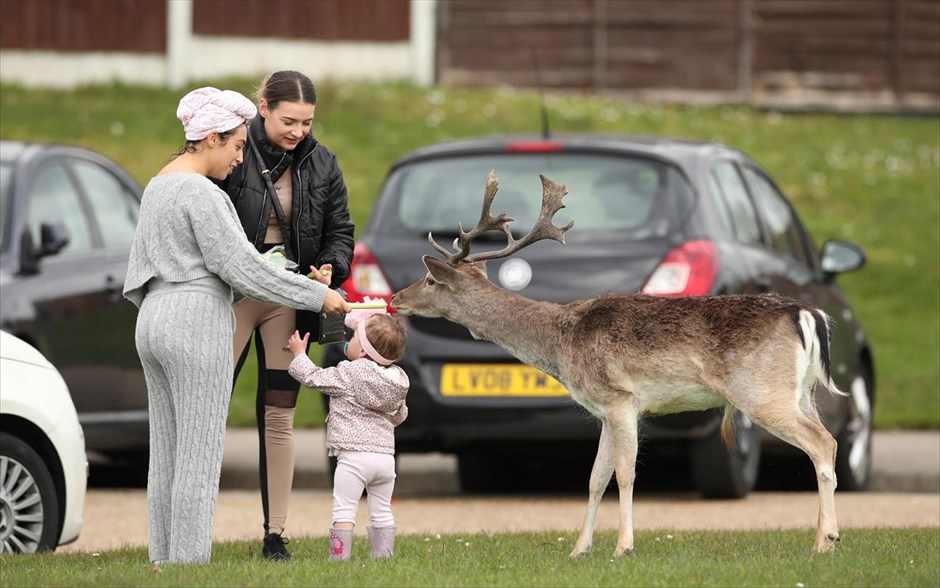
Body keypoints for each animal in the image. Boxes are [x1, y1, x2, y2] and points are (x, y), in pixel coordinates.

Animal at [390, 170, 844, 556]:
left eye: (430, 280)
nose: (395, 298)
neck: (562, 342)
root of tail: (808, 314)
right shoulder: (603, 410)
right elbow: (595, 478)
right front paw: (579, 550)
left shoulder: (621, 398)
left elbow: (625, 473)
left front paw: (623, 547)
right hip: (802, 392)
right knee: (827, 439)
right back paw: (828, 537)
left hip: (760, 391)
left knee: (823, 443)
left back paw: (825, 541)